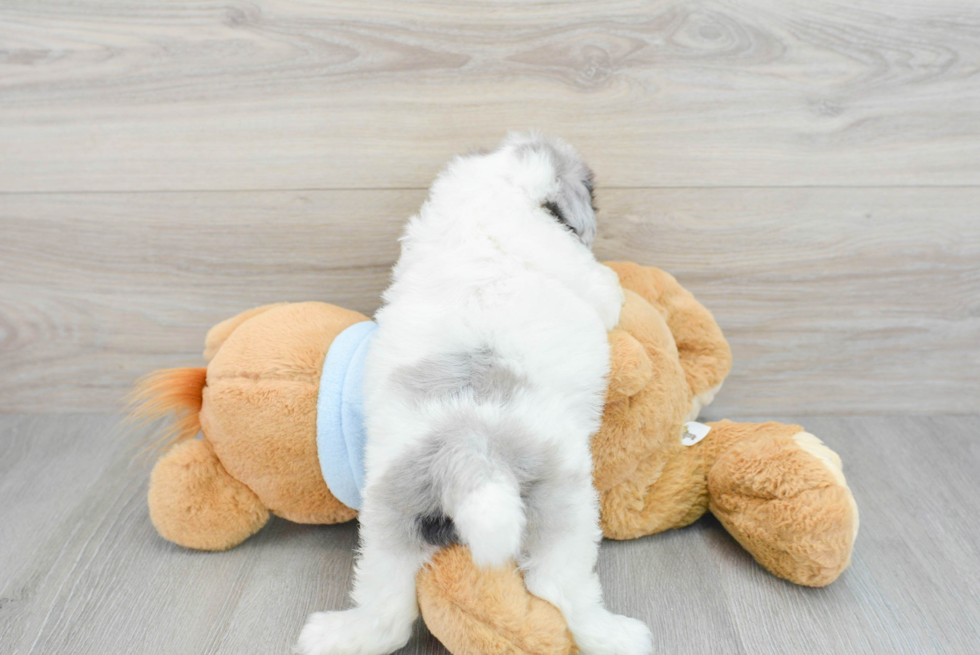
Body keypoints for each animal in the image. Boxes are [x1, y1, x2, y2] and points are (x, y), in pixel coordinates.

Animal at [294, 133, 656, 655]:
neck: (492, 205)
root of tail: (468, 448)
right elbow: (605, 290)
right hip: (563, 508)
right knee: (561, 588)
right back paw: (618, 635)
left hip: (390, 517)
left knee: (388, 609)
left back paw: (336, 635)